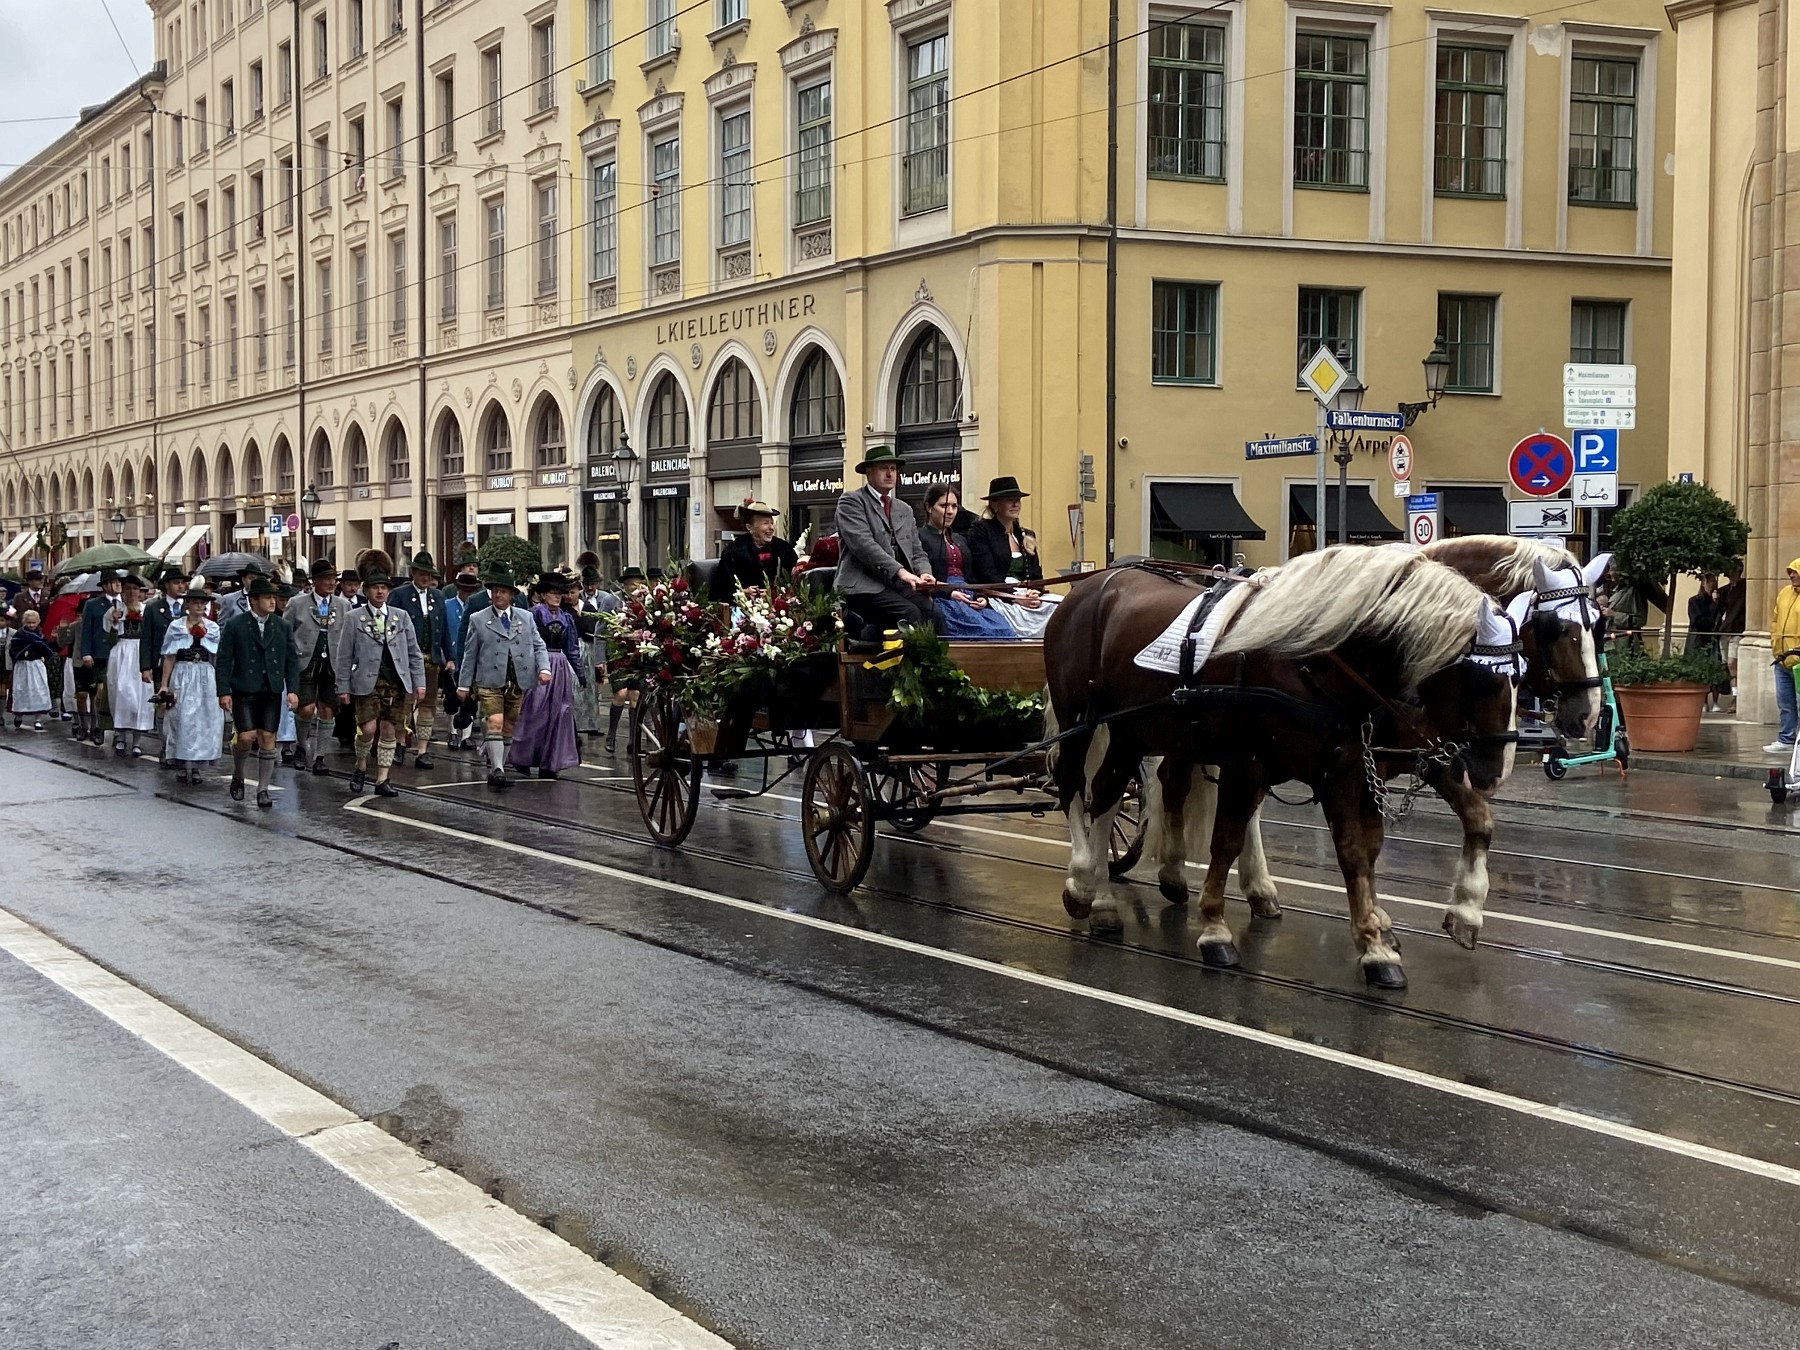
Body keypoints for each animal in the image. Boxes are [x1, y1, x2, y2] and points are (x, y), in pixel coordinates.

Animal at [1045, 547, 1518, 989]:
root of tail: (1092, 585)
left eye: (1519, 675)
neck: (1310, 656)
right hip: (1080, 721)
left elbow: (1358, 853)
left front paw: (1376, 943)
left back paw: (1104, 897)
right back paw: (1084, 881)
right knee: (1075, 786)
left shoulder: (1347, 770)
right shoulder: (1248, 761)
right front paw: (1215, 929)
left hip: (1134, 730)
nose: (1495, 772)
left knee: (1111, 792)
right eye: (1483, 680)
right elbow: (1226, 841)